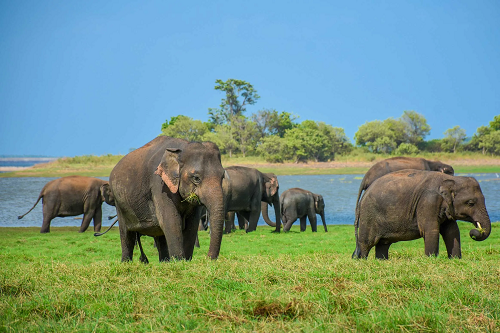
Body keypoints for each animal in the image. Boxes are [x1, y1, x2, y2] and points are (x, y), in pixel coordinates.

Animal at [352, 169, 492, 260]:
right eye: (470, 203)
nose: (474, 232)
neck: (452, 180)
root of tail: (363, 196)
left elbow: (452, 231)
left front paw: (455, 259)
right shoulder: (428, 201)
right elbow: (431, 230)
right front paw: (431, 259)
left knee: (383, 245)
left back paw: (381, 260)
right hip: (368, 216)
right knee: (366, 243)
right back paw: (362, 260)